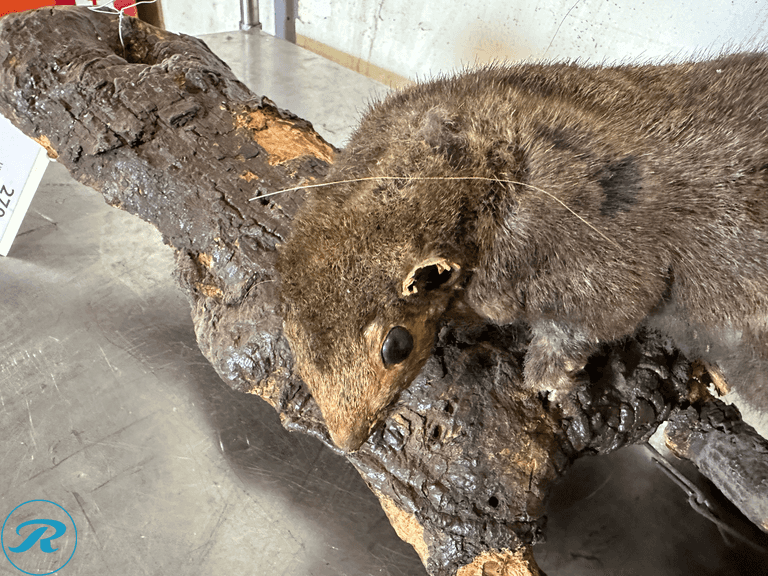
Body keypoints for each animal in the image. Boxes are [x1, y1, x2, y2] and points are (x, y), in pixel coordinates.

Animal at [277, 53, 768, 453]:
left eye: (396, 346)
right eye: (294, 343)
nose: (346, 440)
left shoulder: (593, 260)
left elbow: (589, 321)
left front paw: (549, 381)